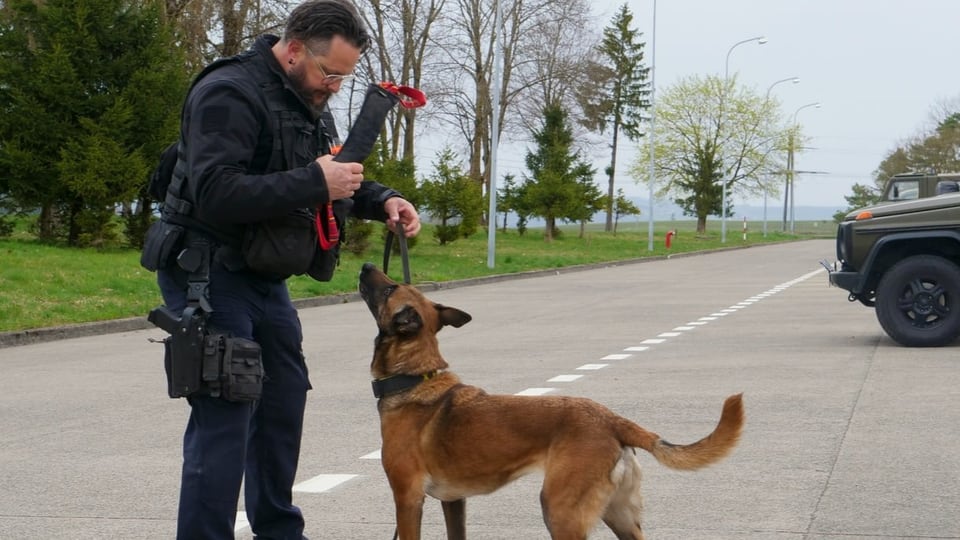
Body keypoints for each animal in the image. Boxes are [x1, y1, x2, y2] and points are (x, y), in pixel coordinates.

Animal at [358, 264, 744, 536]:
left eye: (390, 287)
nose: (364, 265)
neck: (414, 376)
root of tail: (613, 419)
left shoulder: (408, 499)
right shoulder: (454, 502)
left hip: (560, 510)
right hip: (619, 515)